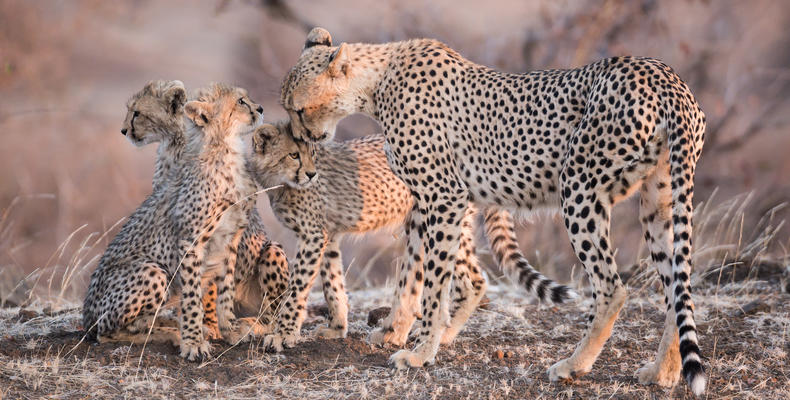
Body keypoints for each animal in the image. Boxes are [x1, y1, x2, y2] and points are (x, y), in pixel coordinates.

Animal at [251, 121, 580, 350]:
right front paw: (336, 327)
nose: (311, 174)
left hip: (436, 219)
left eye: (310, 155)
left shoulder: (312, 236)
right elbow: (332, 281)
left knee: (472, 280)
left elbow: (298, 288)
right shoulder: (328, 236)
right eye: (294, 155)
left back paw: (436, 334)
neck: (280, 184)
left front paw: (283, 335)